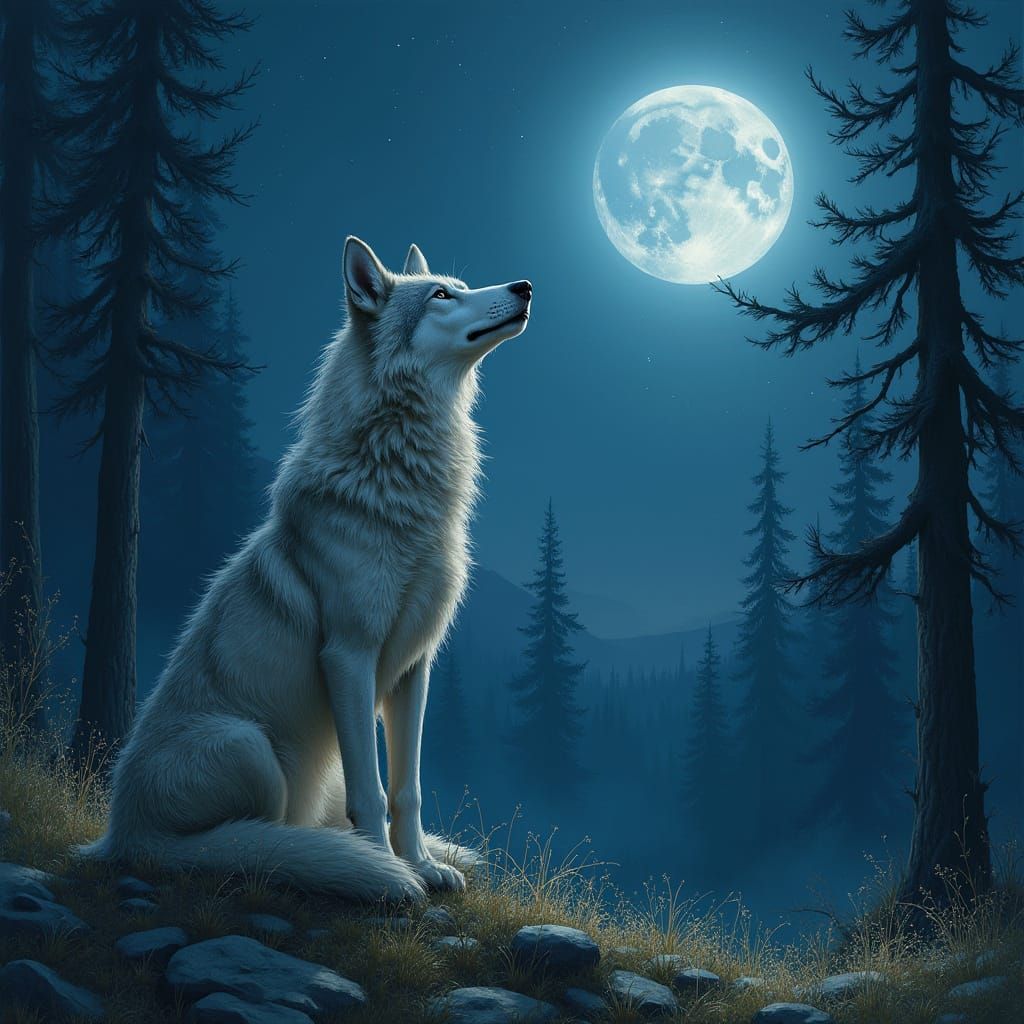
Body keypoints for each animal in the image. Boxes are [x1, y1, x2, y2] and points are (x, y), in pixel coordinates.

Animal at [78, 237, 532, 900]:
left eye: (463, 285)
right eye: (442, 295)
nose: (525, 286)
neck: (399, 483)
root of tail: (119, 834)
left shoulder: (415, 666)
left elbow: (408, 789)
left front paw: (421, 865)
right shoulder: (348, 654)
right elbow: (373, 792)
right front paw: (390, 872)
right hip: (251, 749)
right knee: (242, 844)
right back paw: (306, 858)